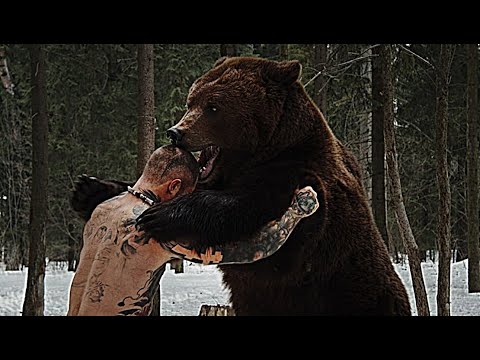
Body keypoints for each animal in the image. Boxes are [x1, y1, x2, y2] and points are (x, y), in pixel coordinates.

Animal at [73, 55, 410, 316]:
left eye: (213, 106)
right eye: (191, 100)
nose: (176, 132)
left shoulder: (303, 189)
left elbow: (248, 218)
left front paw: (162, 216)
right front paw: (90, 188)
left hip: (353, 295)